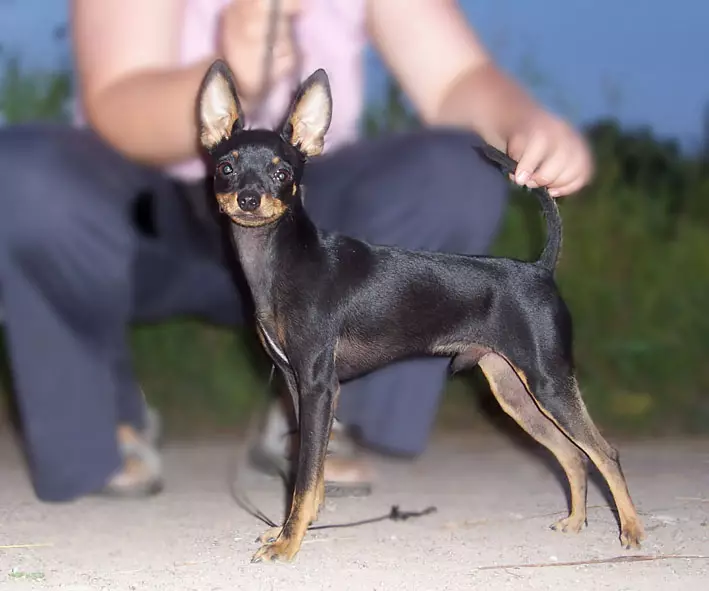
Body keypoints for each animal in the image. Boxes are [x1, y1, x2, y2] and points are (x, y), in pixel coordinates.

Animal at [196, 60, 644, 564]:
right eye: (226, 168)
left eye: (282, 173)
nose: (249, 199)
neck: (285, 260)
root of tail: (539, 268)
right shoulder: (297, 386)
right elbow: (311, 474)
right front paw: (293, 528)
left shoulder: (318, 386)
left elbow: (306, 476)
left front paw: (289, 541)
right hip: (515, 392)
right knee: (572, 455)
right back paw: (575, 521)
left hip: (549, 383)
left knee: (604, 452)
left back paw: (631, 531)